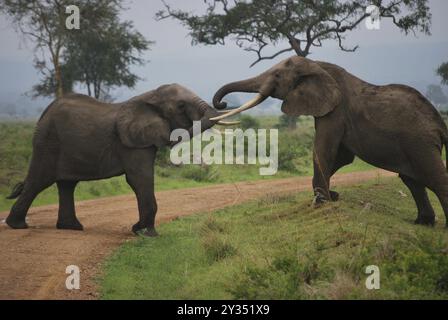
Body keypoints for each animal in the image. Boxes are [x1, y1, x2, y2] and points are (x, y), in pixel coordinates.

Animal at [5, 84, 233, 236]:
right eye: (180, 105)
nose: (222, 102)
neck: (149, 96)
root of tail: (44, 113)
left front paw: (141, 230)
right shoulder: (130, 143)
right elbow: (139, 179)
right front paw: (145, 233)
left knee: (67, 184)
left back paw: (71, 228)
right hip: (48, 142)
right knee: (39, 181)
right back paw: (17, 226)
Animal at [212, 56, 448, 226]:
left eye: (277, 75)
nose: (222, 103)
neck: (317, 65)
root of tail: (439, 123)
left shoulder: (336, 111)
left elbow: (324, 150)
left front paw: (322, 202)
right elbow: (341, 157)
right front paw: (331, 196)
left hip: (420, 142)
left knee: (435, 179)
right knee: (412, 180)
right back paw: (422, 223)